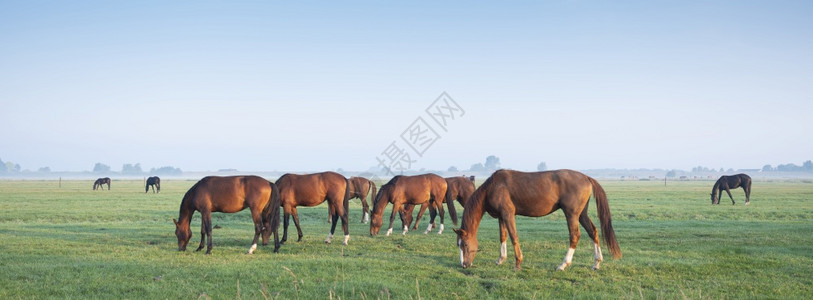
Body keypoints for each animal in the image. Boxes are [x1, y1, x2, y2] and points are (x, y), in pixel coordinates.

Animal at [450, 170, 620, 270]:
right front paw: (501, 259)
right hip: (581, 214)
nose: (464, 265)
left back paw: (563, 264)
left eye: (465, 244)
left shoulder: (508, 214)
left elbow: (514, 237)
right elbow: (502, 237)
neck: (493, 187)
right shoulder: (501, 217)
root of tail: (587, 177)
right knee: (593, 232)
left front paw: (518, 262)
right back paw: (597, 262)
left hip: (571, 214)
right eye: (458, 244)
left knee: (575, 236)